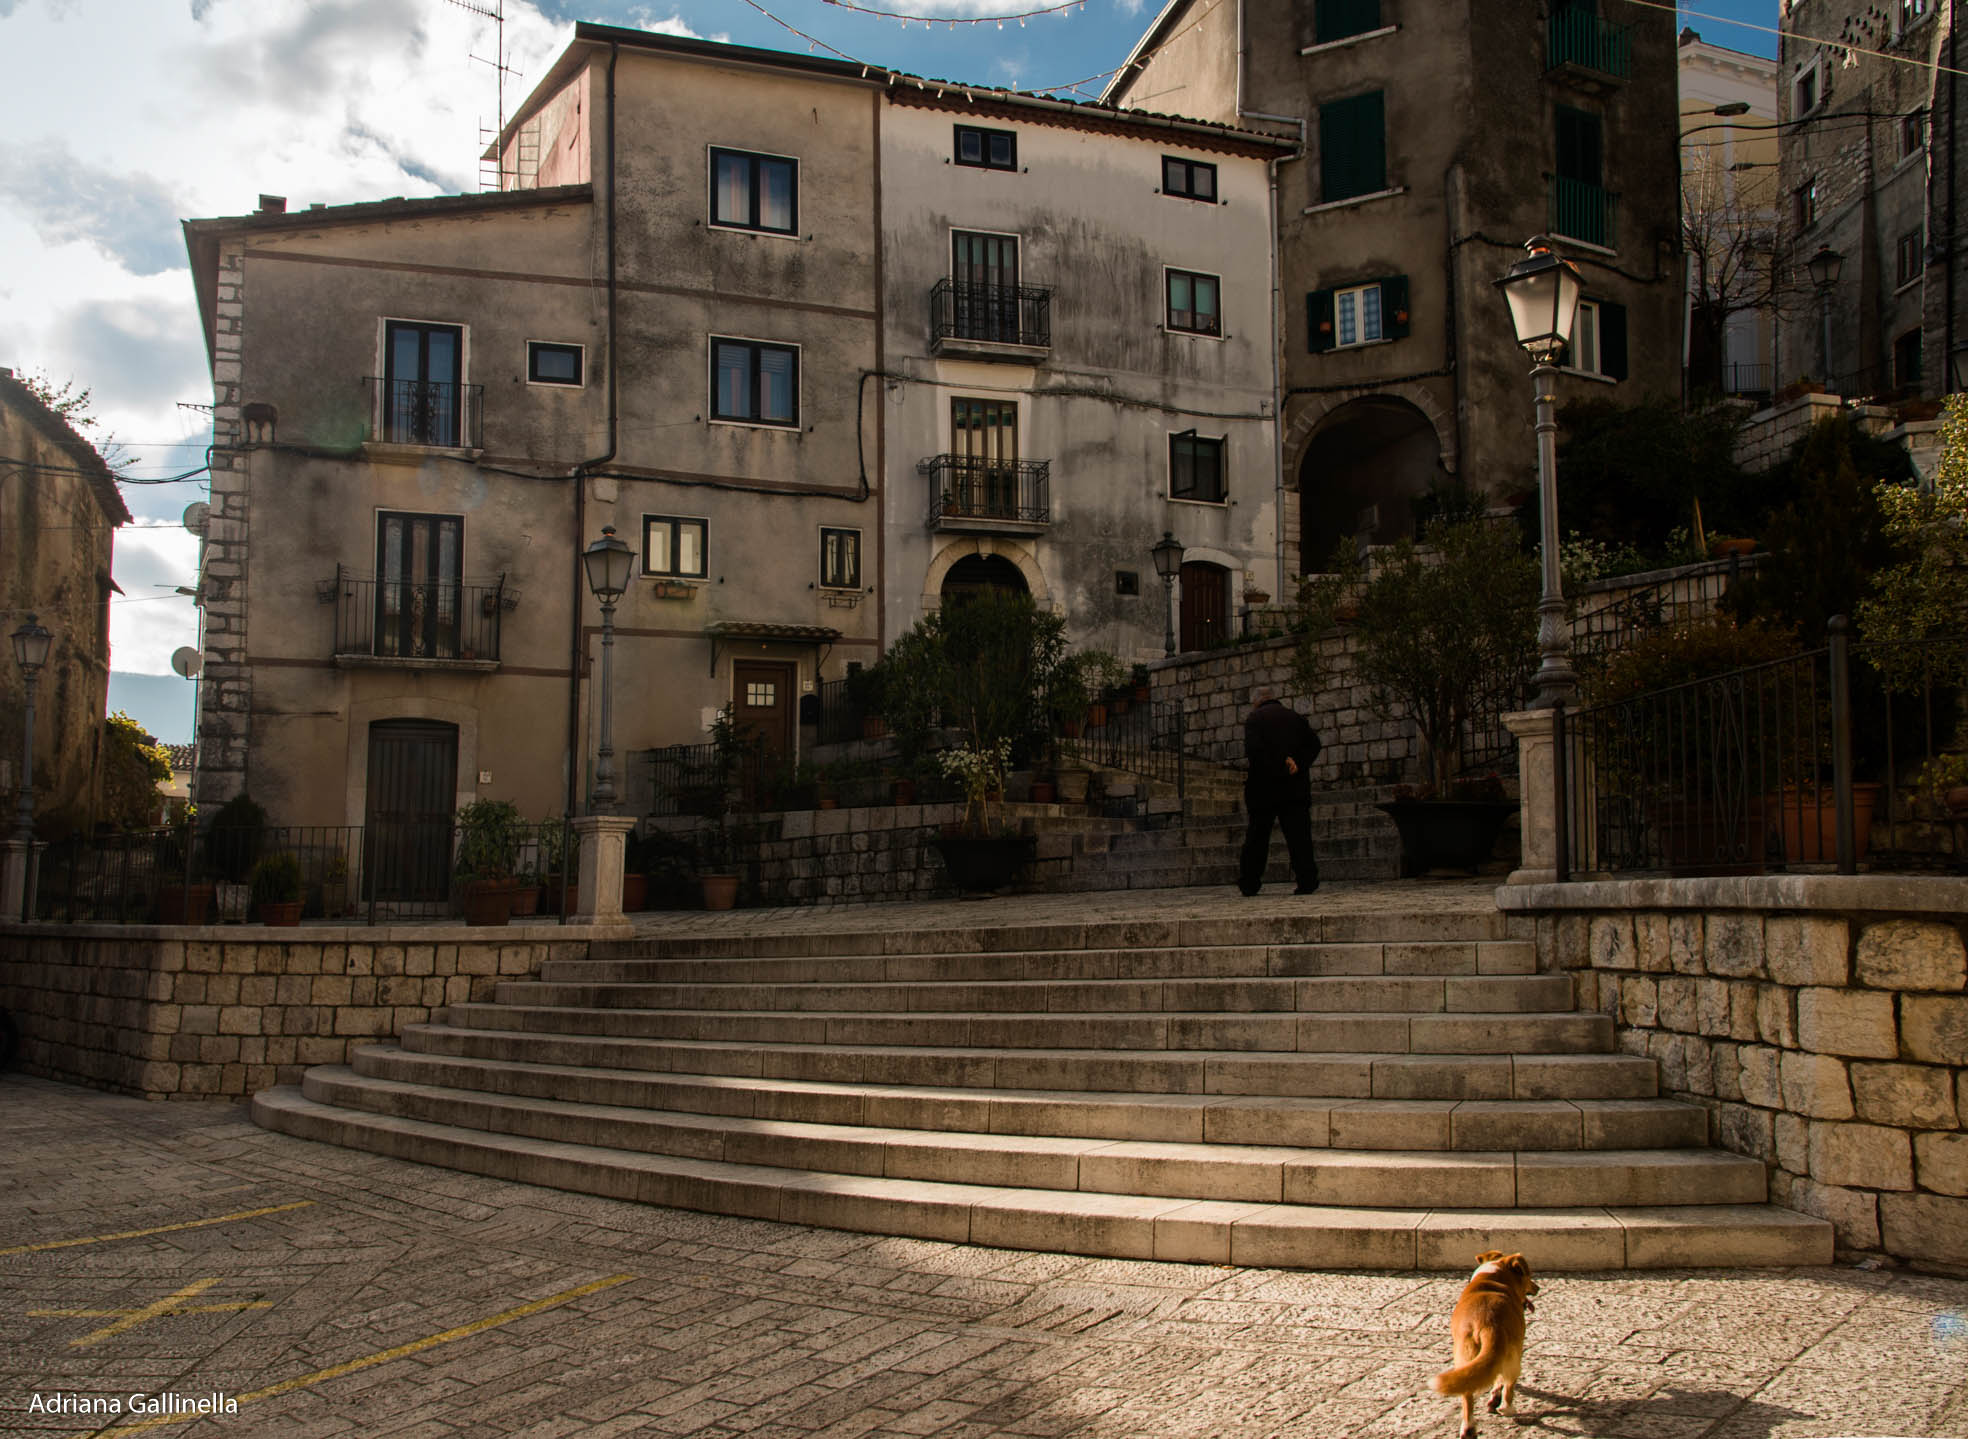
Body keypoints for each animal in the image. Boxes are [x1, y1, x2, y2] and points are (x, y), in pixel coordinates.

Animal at [1432, 1251, 1535, 1439]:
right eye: (1528, 1276)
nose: (1537, 1287)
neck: (1493, 1276)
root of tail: (1487, 1323)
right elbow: (1500, 1381)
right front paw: (1495, 1399)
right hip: (1513, 1358)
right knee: (1508, 1386)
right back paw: (1507, 1408)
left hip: (1464, 1358)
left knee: (1467, 1394)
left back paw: (1468, 1428)